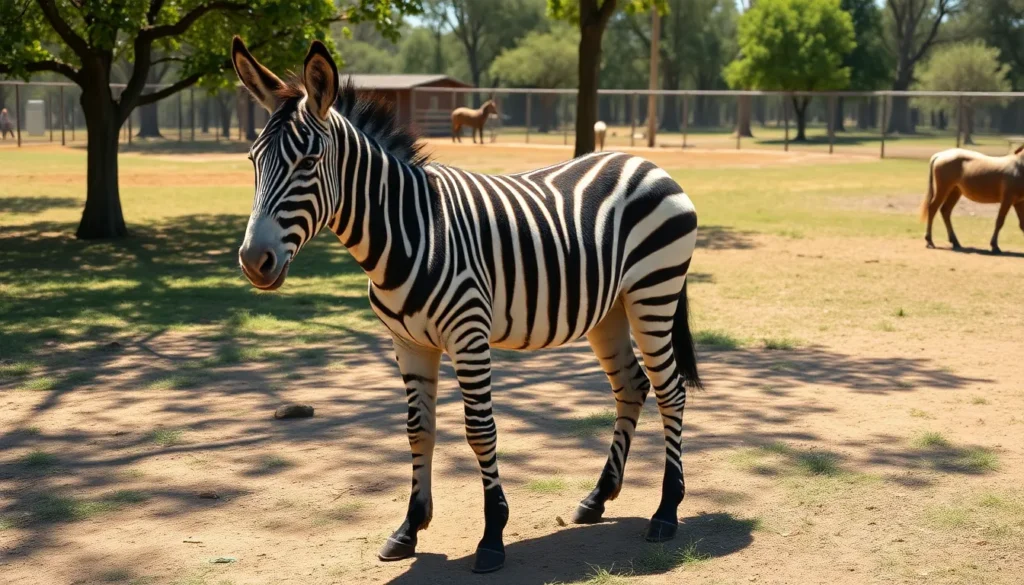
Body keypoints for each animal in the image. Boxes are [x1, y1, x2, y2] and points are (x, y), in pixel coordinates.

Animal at [232, 37, 702, 574]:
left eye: (308, 161)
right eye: (253, 160)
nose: (253, 261)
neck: (407, 231)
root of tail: (646, 163)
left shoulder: (469, 336)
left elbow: (480, 432)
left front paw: (492, 536)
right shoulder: (408, 343)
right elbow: (418, 430)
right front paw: (409, 528)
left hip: (653, 292)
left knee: (671, 392)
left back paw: (666, 512)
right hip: (610, 310)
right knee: (632, 387)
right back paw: (597, 498)